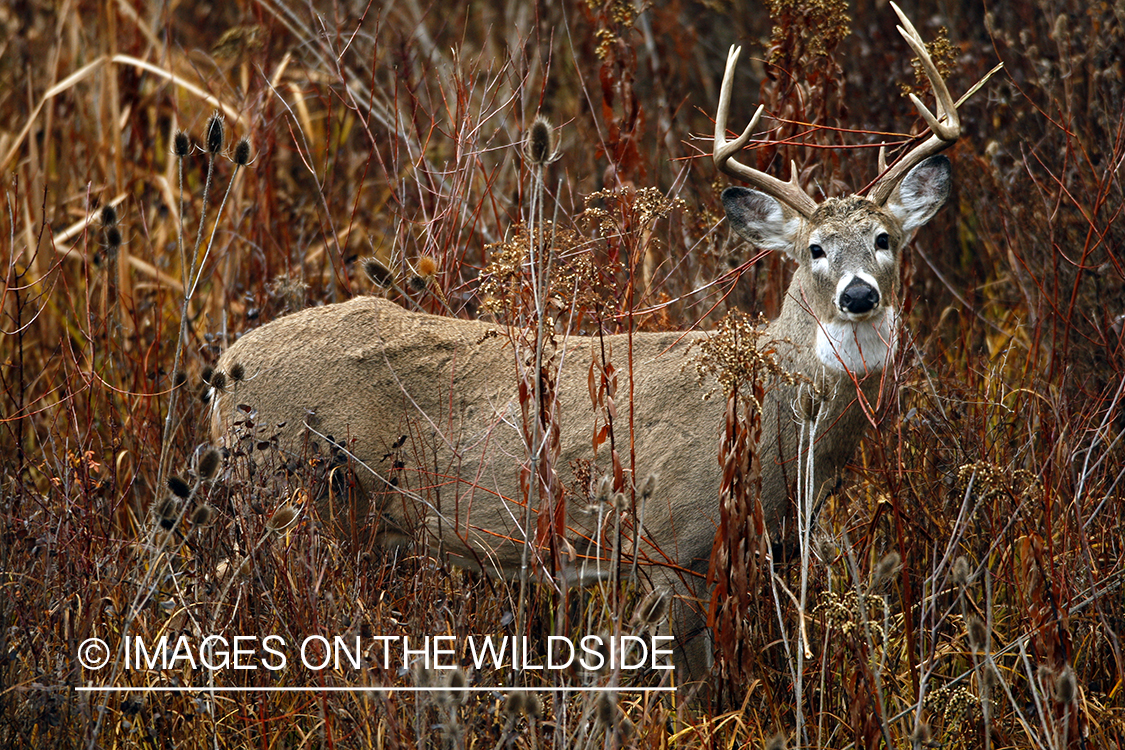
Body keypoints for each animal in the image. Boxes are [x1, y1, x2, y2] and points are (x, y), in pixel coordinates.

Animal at [207, 4, 990, 697]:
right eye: (815, 249)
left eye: (886, 239)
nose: (858, 295)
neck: (772, 425)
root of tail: (222, 371)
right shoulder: (672, 540)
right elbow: (696, 690)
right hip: (283, 493)